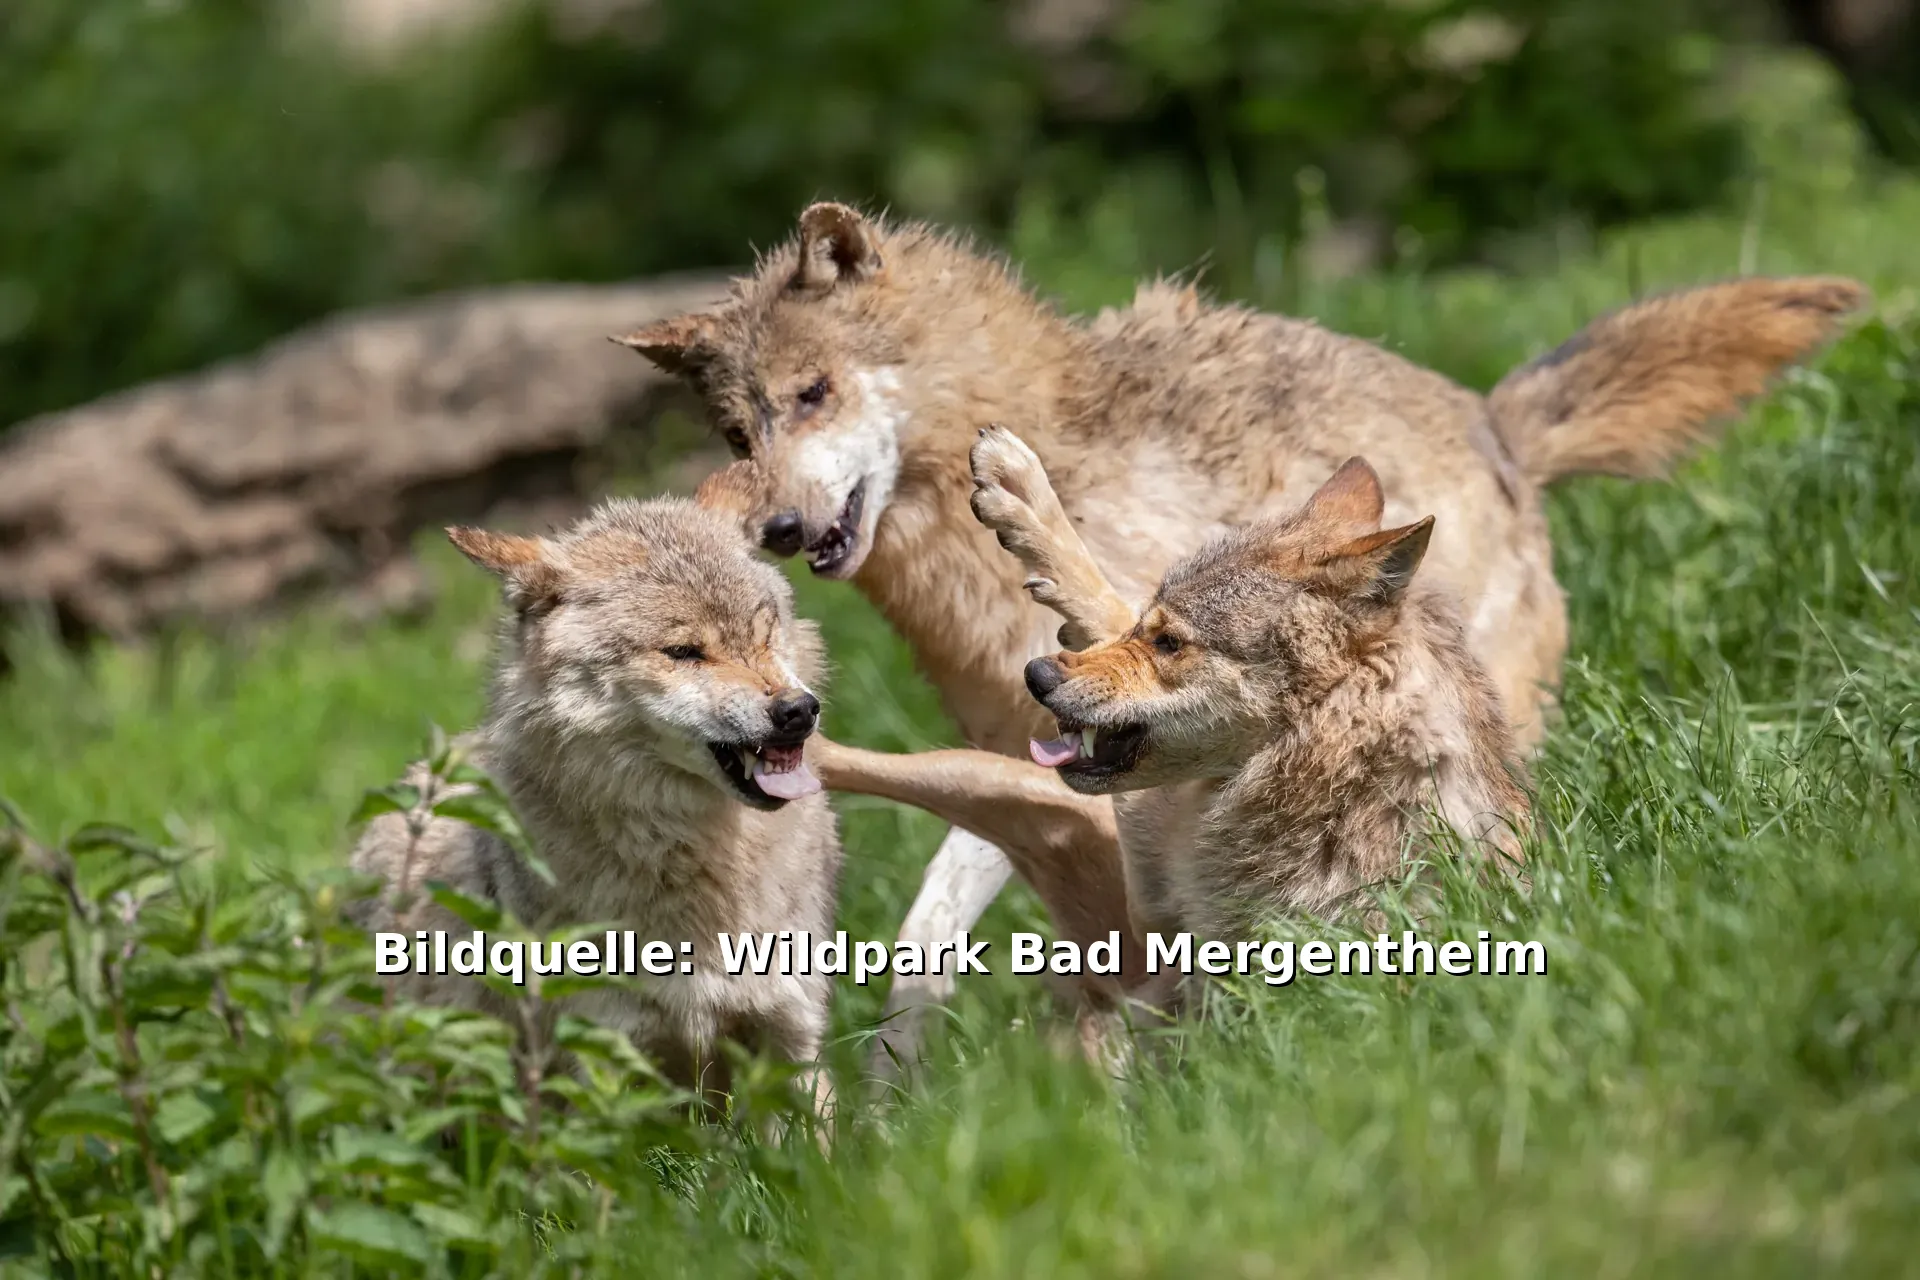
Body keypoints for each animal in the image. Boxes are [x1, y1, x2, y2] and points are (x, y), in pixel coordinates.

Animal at [616, 202, 1863, 1051]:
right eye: (738, 433)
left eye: (815, 392)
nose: (779, 527)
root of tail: (1498, 420)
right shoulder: (1037, 743)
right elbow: (935, 941)